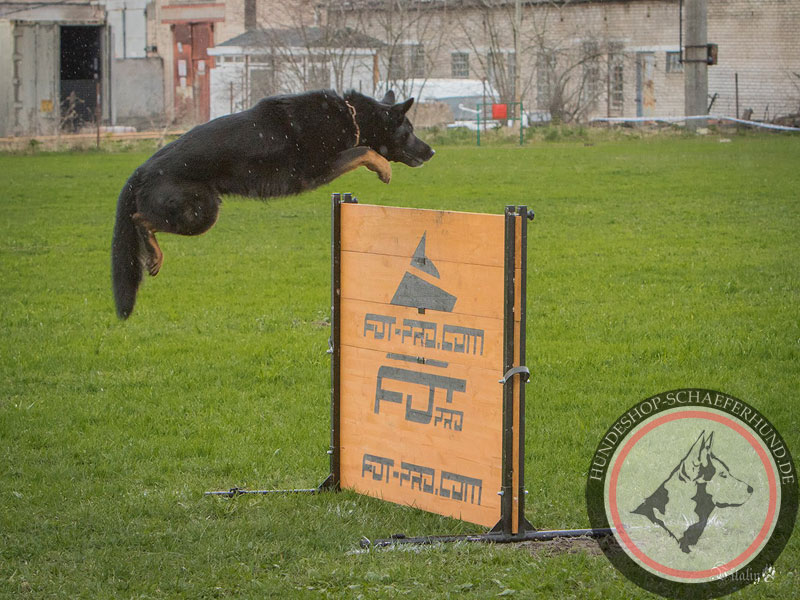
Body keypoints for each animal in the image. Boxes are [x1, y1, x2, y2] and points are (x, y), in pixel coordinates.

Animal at [111, 89, 432, 318]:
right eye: (409, 130)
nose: (432, 152)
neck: (351, 116)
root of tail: (140, 170)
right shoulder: (319, 168)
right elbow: (363, 150)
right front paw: (383, 168)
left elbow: (362, 149)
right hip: (202, 212)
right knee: (140, 219)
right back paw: (153, 253)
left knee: (141, 218)